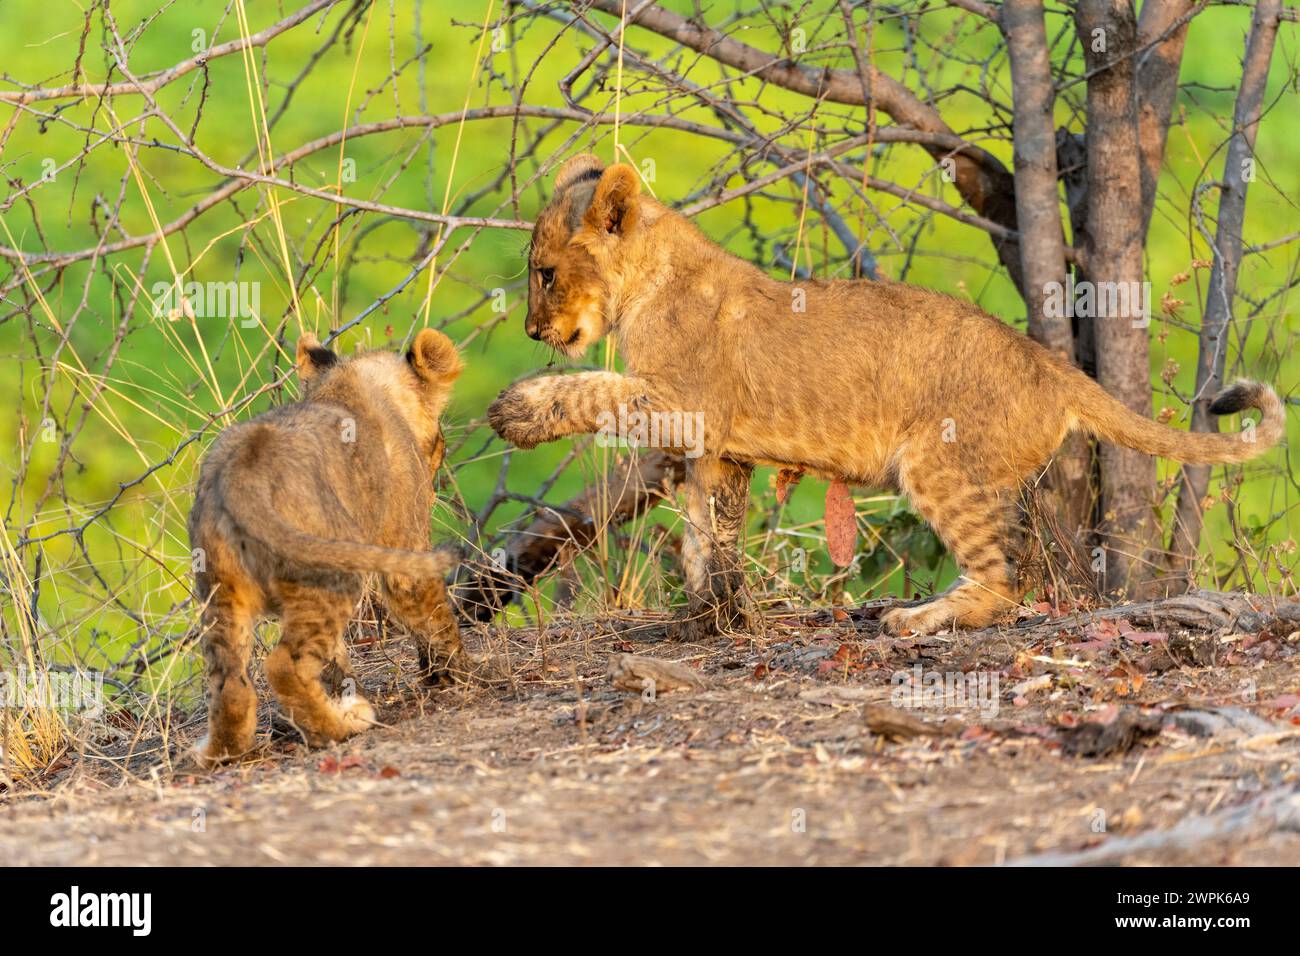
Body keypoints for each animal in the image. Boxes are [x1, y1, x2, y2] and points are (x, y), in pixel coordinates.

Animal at [188, 329, 464, 766]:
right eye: (441, 443)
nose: (437, 479)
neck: (349, 384)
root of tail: (241, 476)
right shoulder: (405, 550)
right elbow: (433, 617)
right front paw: (471, 674)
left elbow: (336, 658)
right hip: (330, 574)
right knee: (284, 665)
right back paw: (339, 728)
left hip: (219, 589)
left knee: (230, 682)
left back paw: (224, 752)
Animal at [487, 154, 1285, 639]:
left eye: (545, 272)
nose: (530, 329)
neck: (647, 282)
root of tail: (1052, 364)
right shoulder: (717, 448)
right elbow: (707, 534)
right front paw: (713, 616)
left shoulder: (683, 402)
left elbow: (592, 389)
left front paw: (515, 410)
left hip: (938, 462)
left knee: (1004, 579)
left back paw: (918, 619)